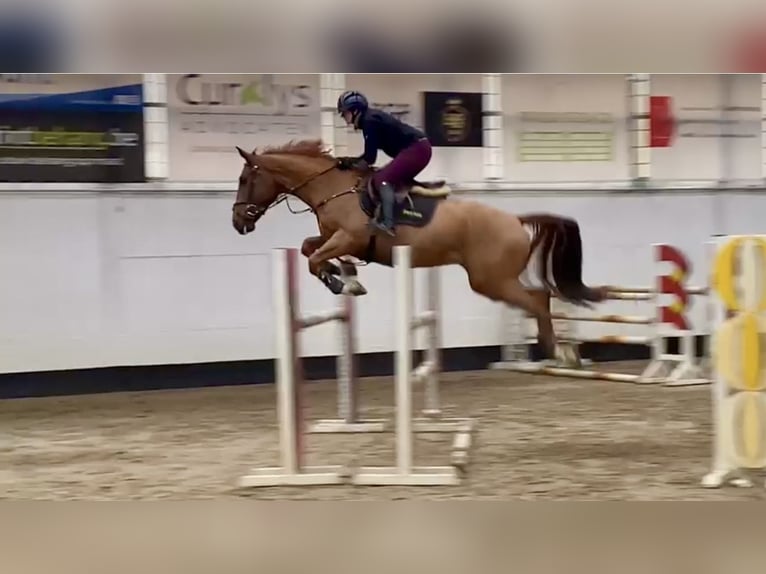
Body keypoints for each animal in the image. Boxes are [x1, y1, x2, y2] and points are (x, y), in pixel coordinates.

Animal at [231, 139, 608, 364]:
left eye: (245, 179)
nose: (237, 222)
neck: (331, 189)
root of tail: (515, 220)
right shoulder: (331, 237)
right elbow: (310, 249)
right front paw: (346, 276)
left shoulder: (349, 238)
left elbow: (313, 258)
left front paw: (342, 282)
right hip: (495, 279)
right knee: (540, 295)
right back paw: (555, 348)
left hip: (490, 279)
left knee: (537, 300)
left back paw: (559, 351)